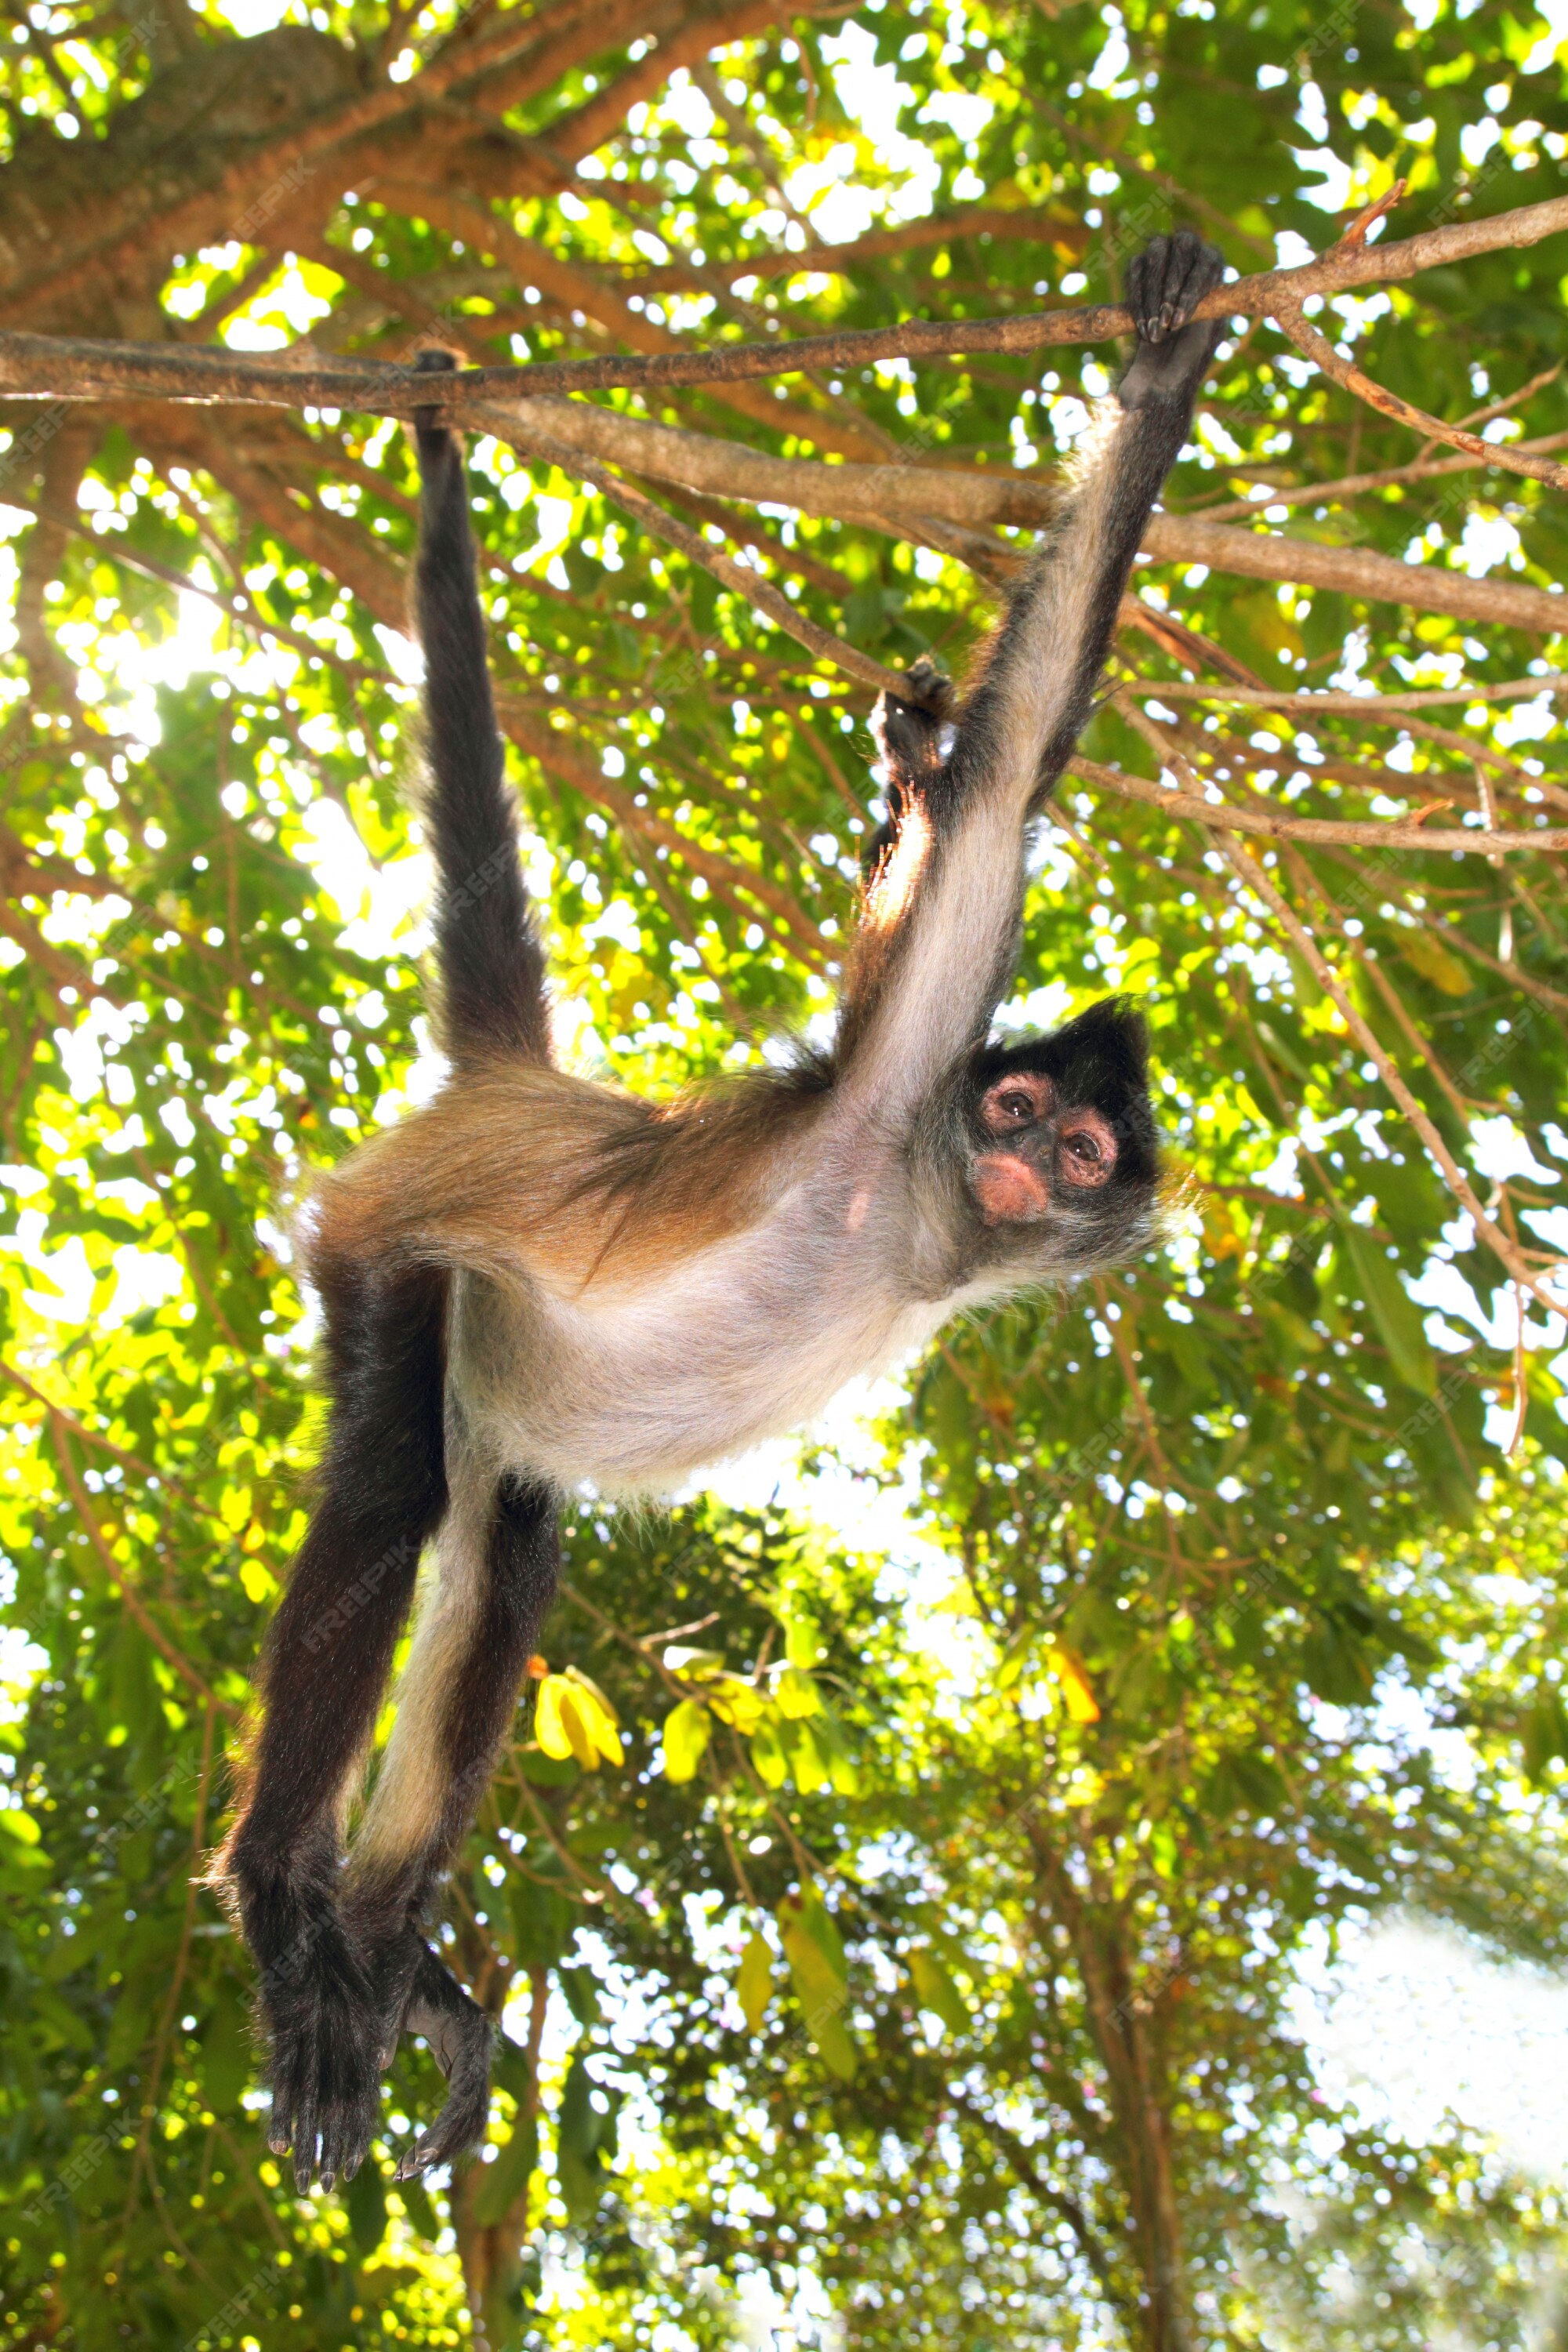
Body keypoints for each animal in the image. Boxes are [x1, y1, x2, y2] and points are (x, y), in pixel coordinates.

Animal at [217, 229, 1222, 2192]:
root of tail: (517, 1105)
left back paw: (391, 1964)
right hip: (391, 1244)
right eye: (1011, 1107)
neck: (910, 1238)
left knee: (505, 1545)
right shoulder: (884, 1096)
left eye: (1086, 1158)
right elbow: (1006, 773)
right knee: (389, 1482)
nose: (1027, 1150)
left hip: (492, 1356)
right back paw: (289, 1925)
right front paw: (1156, 374)